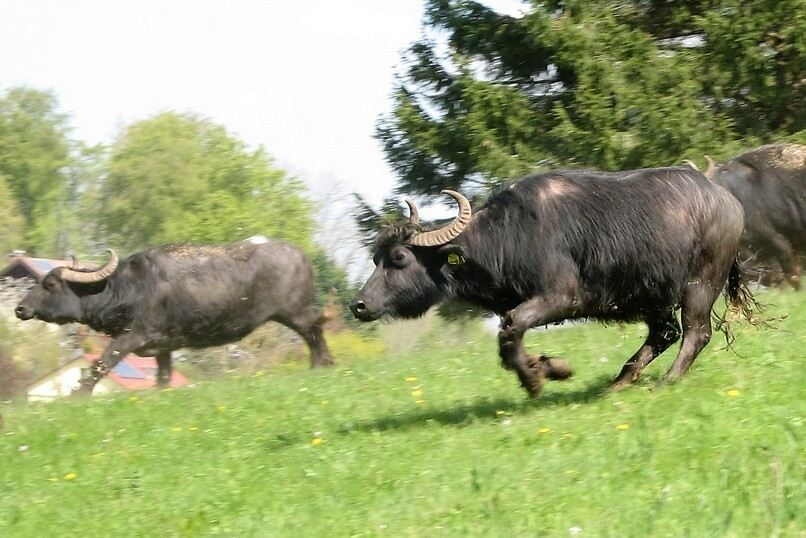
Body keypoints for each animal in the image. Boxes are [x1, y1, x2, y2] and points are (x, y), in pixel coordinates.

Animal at [17, 237, 336, 392]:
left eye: (50, 284)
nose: (20, 308)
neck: (127, 289)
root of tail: (301, 256)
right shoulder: (163, 348)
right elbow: (163, 377)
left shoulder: (132, 336)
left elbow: (103, 362)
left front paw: (80, 393)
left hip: (296, 313)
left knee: (315, 332)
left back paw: (324, 365)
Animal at [350, 168, 756, 398]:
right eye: (375, 259)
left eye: (399, 259)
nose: (359, 305)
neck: (508, 236)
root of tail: (729, 202)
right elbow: (507, 339)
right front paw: (545, 367)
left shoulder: (563, 298)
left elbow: (511, 326)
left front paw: (539, 377)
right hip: (653, 297)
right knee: (665, 333)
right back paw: (619, 382)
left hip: (700, 284)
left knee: (696, 333)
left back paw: (667, 380)